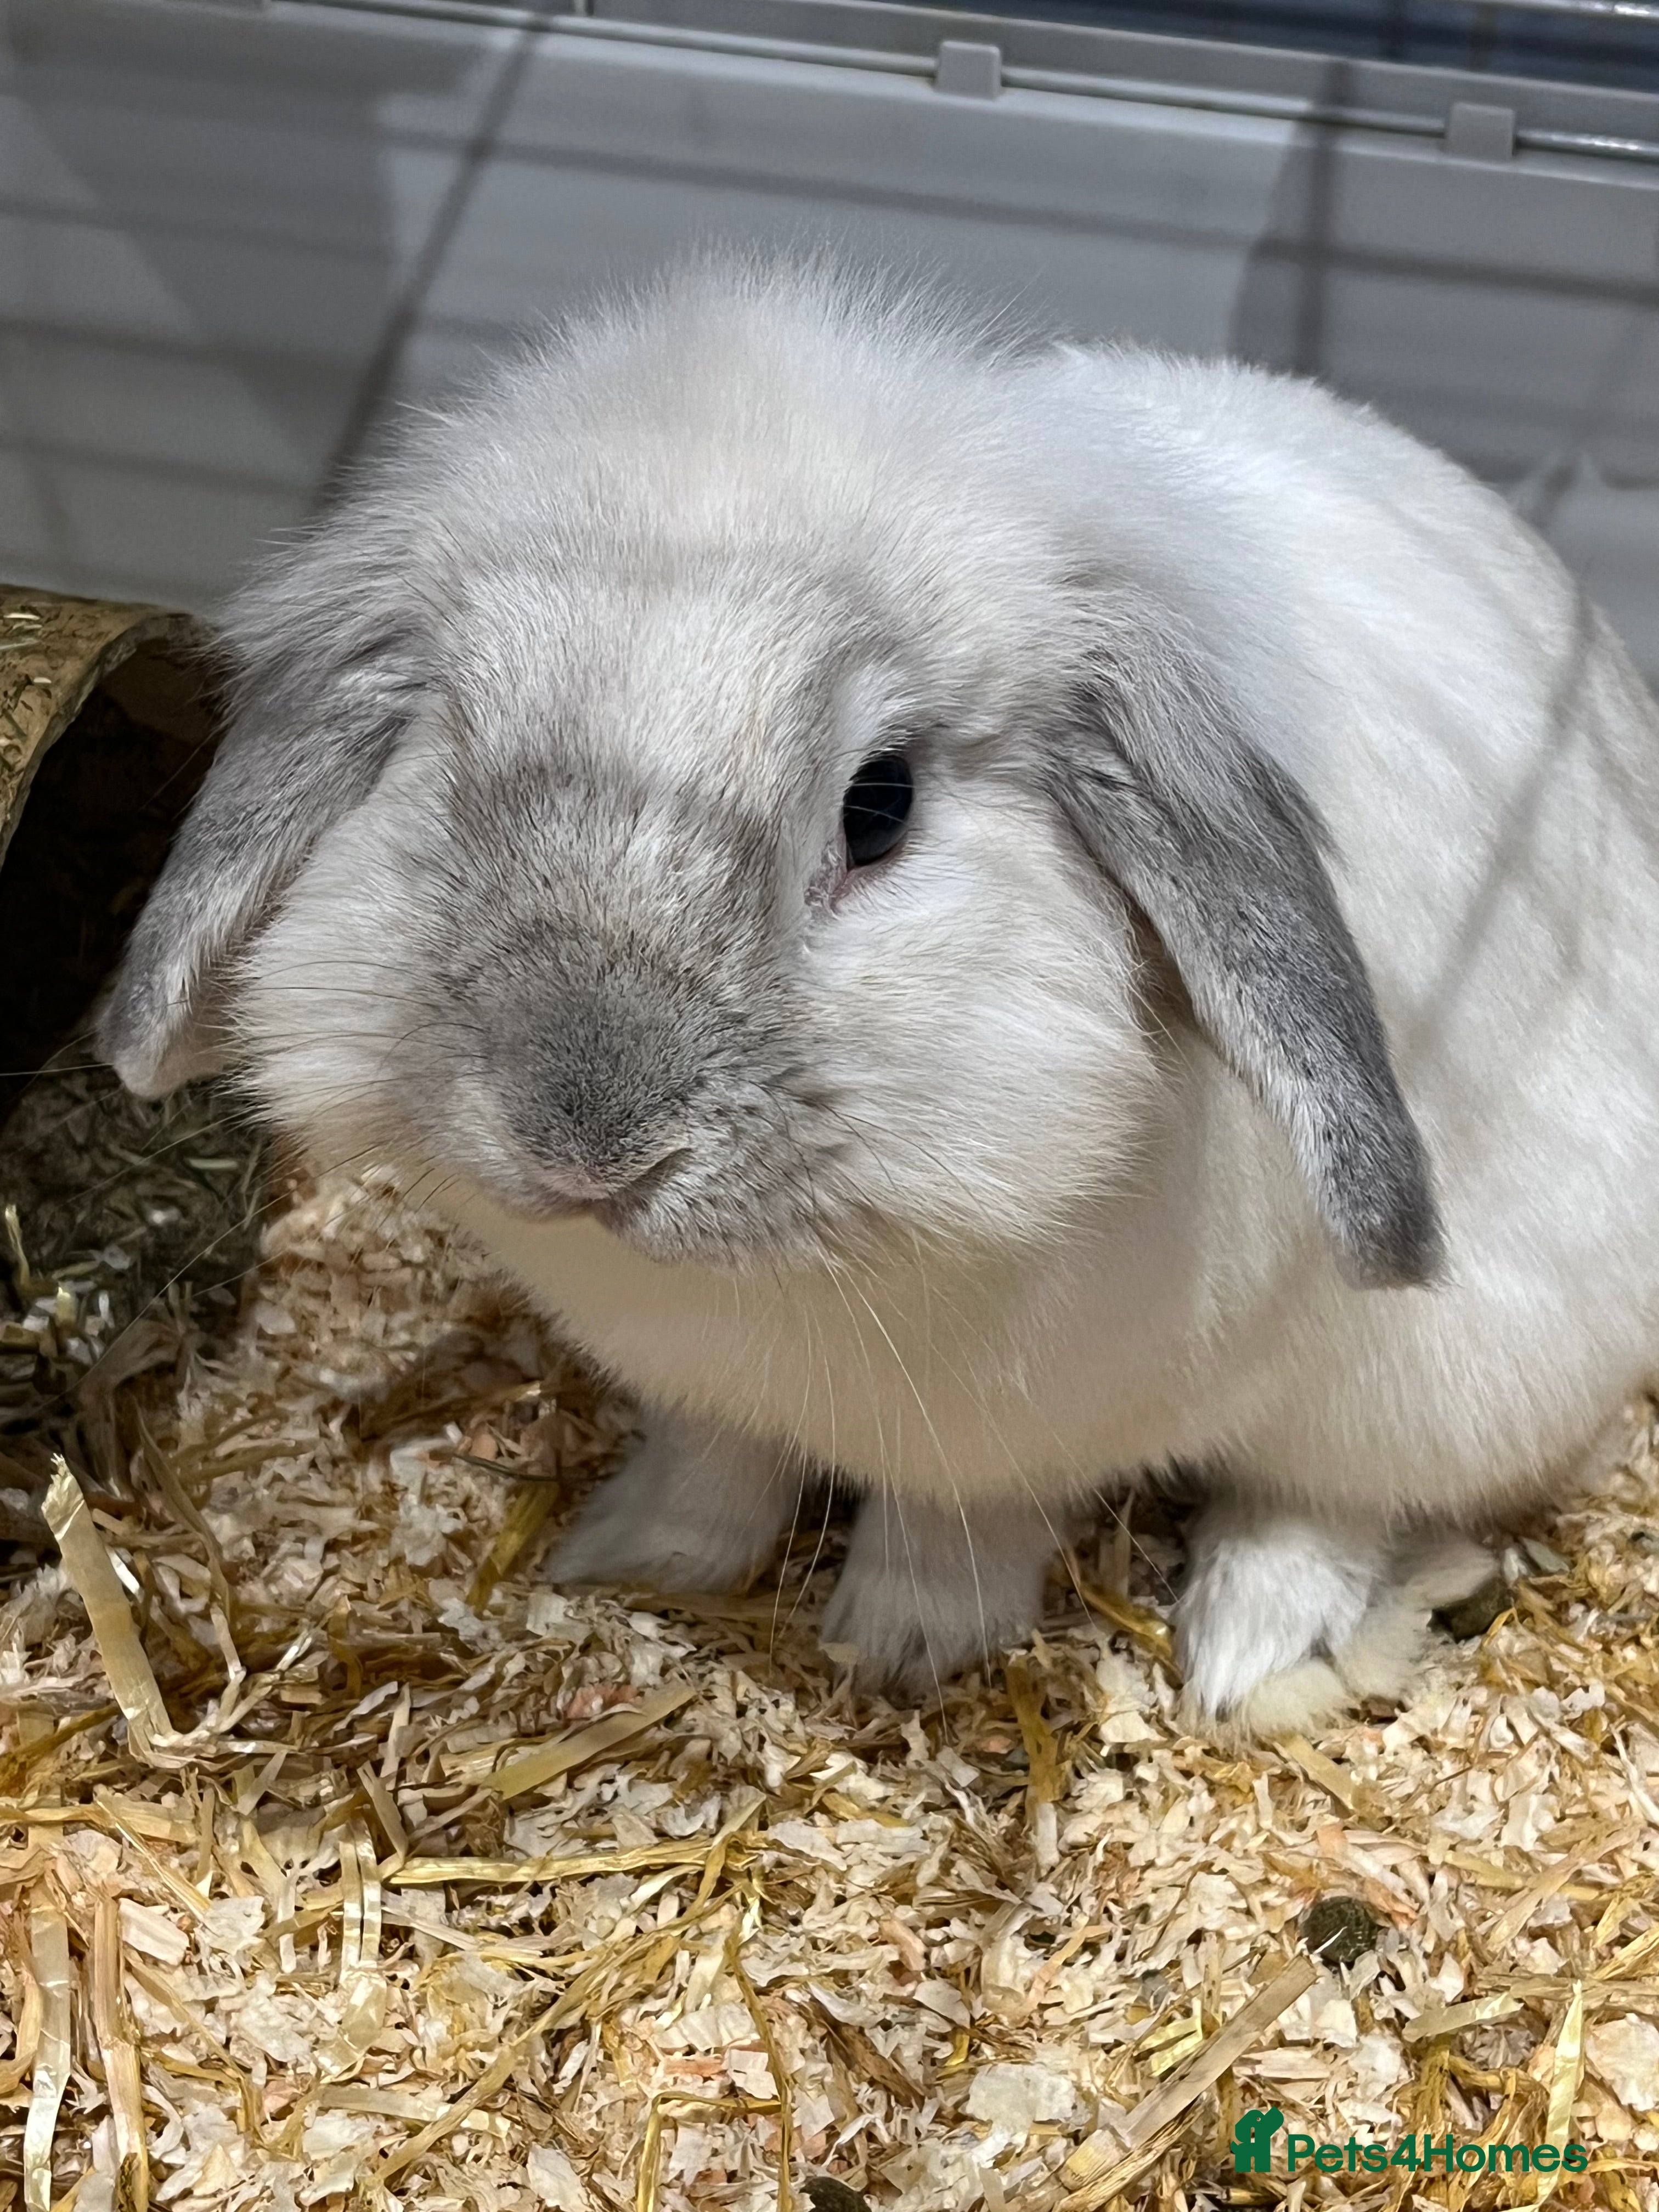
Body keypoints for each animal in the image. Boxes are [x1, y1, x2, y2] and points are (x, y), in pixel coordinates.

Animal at [98, 253, 1659, 1734]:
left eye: (882, 806)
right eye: (456, 756)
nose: (586, 1147)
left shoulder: (1015, 1440)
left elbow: (961, 1526)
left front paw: (903, 1646)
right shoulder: (703, 1391)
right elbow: (715, 1460)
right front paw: (636, 1559)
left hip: (1451, 1371)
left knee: (1332, 1499)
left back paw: (1246, 1649)